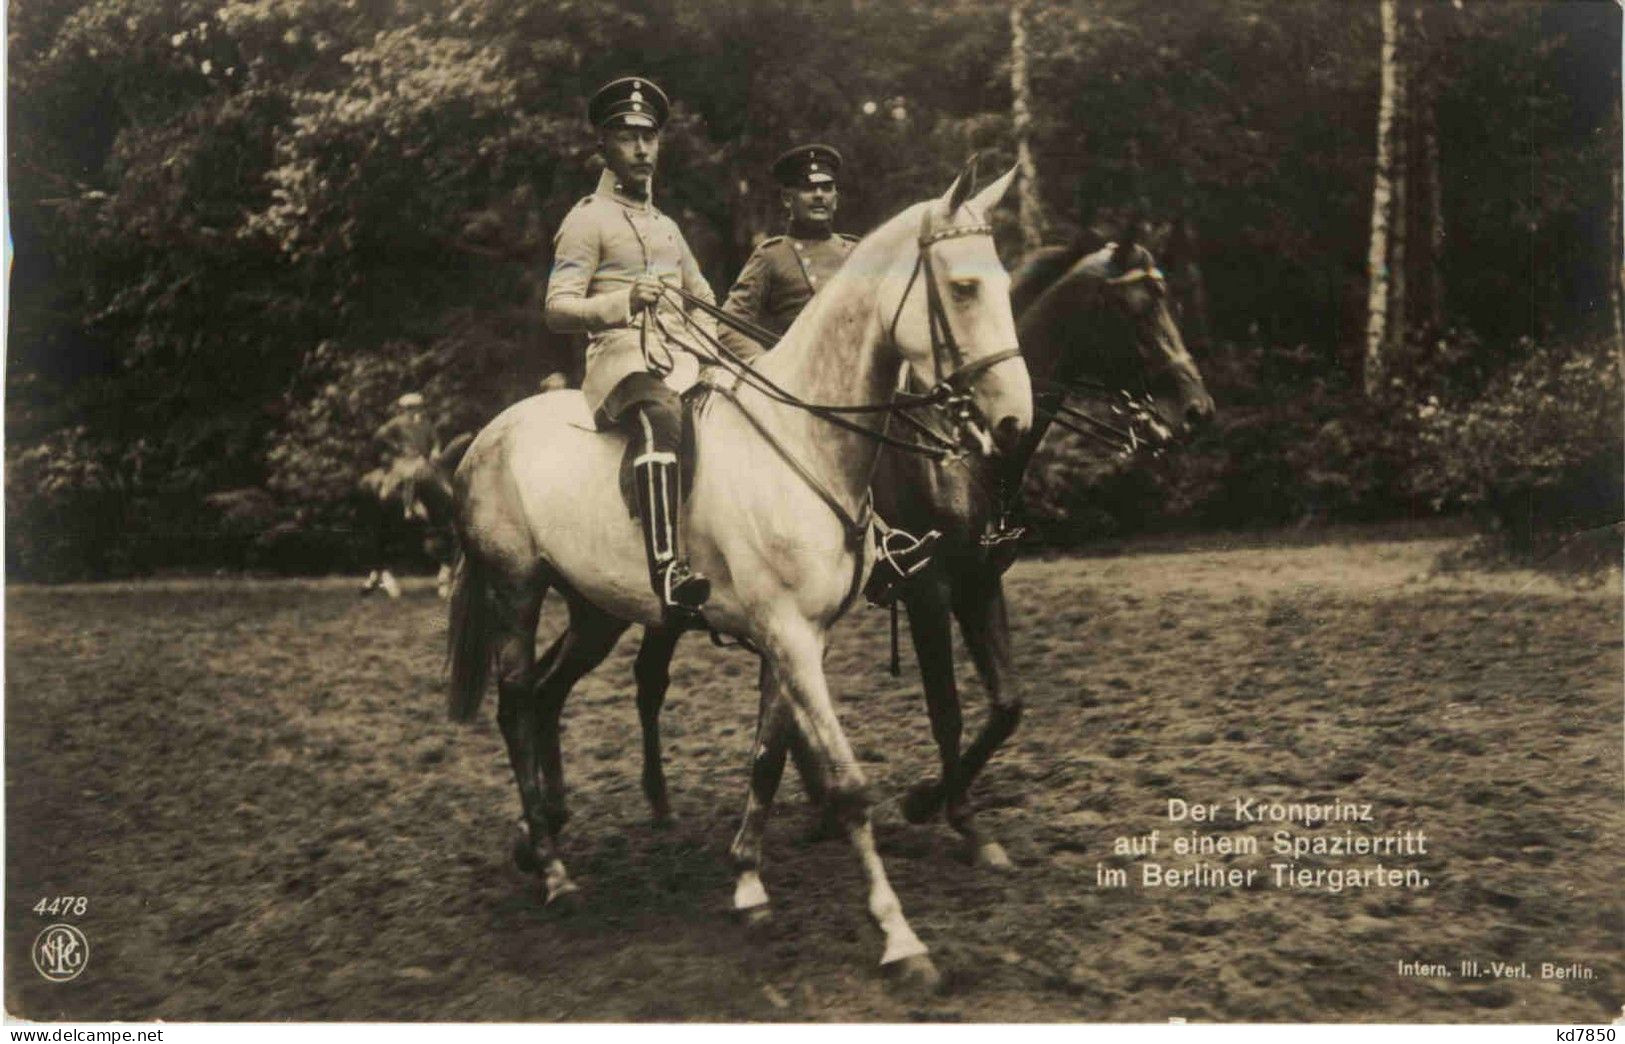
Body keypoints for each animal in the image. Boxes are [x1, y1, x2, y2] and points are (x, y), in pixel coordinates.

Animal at [448, 160, 1027, 982]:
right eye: (965, 287)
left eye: (1004, 280)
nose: (1012, 423)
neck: (803, 437)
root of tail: (483, 439)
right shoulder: (790, 633)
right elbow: (847, 784)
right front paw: (900, 937)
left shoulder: (800, 636)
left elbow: (766, 757)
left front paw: (749, 882)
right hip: (515, 592)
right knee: (515, 706)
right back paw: (555, 870)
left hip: (598, 608)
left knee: (548, 694)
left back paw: (543, 838)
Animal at [627, 229, 1215, 871]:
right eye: (1137, 309)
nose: (1198, 409)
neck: (963, 452)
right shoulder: (929, 589)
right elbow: (947, 711)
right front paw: (954, 818)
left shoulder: (981, 580)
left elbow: (1006, 704)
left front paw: (930, 801)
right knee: (648, 679)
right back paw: (660, 805)